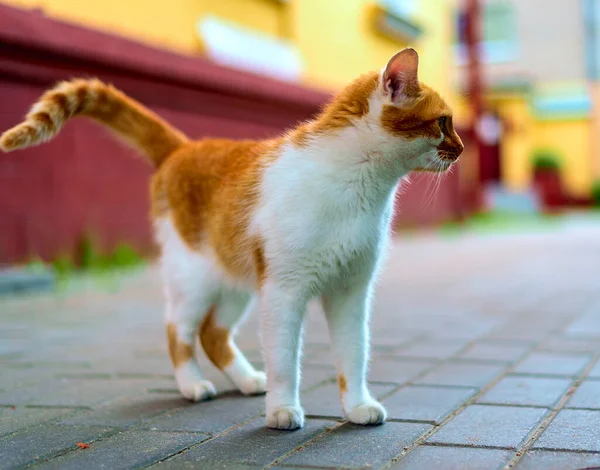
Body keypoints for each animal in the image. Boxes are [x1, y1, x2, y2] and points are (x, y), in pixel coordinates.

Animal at [0, 47, 464, 430]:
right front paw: (282, 410)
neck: (359, 184)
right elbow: (284, 359)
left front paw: (357, 407)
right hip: (195, 279)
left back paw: (246, 380)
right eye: (444, 123)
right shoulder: (283, 290)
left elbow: (353, 355)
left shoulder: (350, 291)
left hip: (236, 283)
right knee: (179, 330)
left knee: (213, 333)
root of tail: (183, 147)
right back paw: (193, 385)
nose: (461, 149)